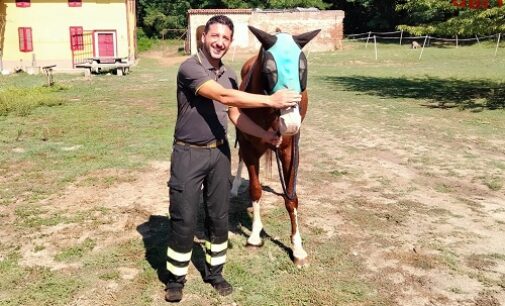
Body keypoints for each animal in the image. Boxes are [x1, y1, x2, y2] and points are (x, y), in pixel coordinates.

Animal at [231, 25, 318, 266]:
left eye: (302, 68)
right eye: (269, 70)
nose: (291, 123)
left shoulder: (289, 151)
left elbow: (291, 198)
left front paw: (297, 249)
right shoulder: (250, 149)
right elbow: (255, 190)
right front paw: (254, 236)